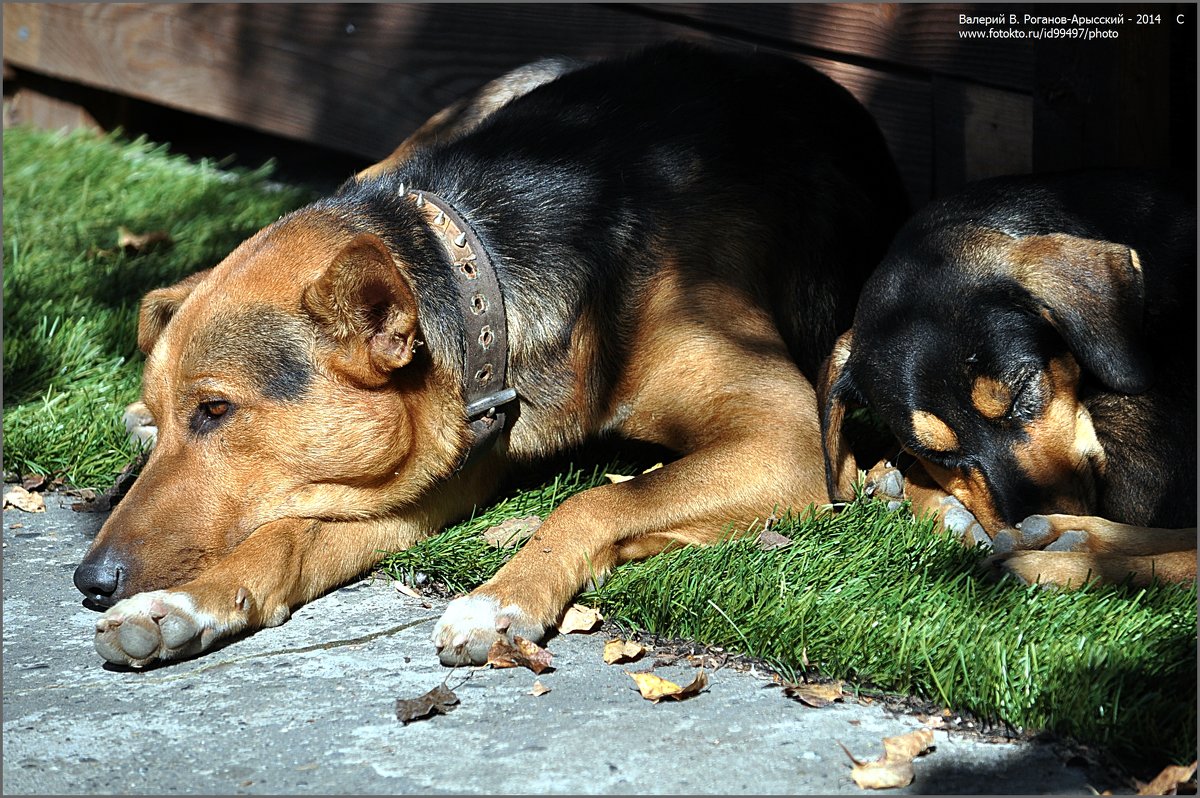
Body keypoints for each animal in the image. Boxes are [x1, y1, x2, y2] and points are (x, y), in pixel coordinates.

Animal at [77, 43, 907, 667]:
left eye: (216, 410)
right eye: (188, 413)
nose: (88, 580)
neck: (488, 268)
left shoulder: (782, 437)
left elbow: (598, 498)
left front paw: (501, 599)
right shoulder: (444, 455)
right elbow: (289, 532)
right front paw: (185, 605)